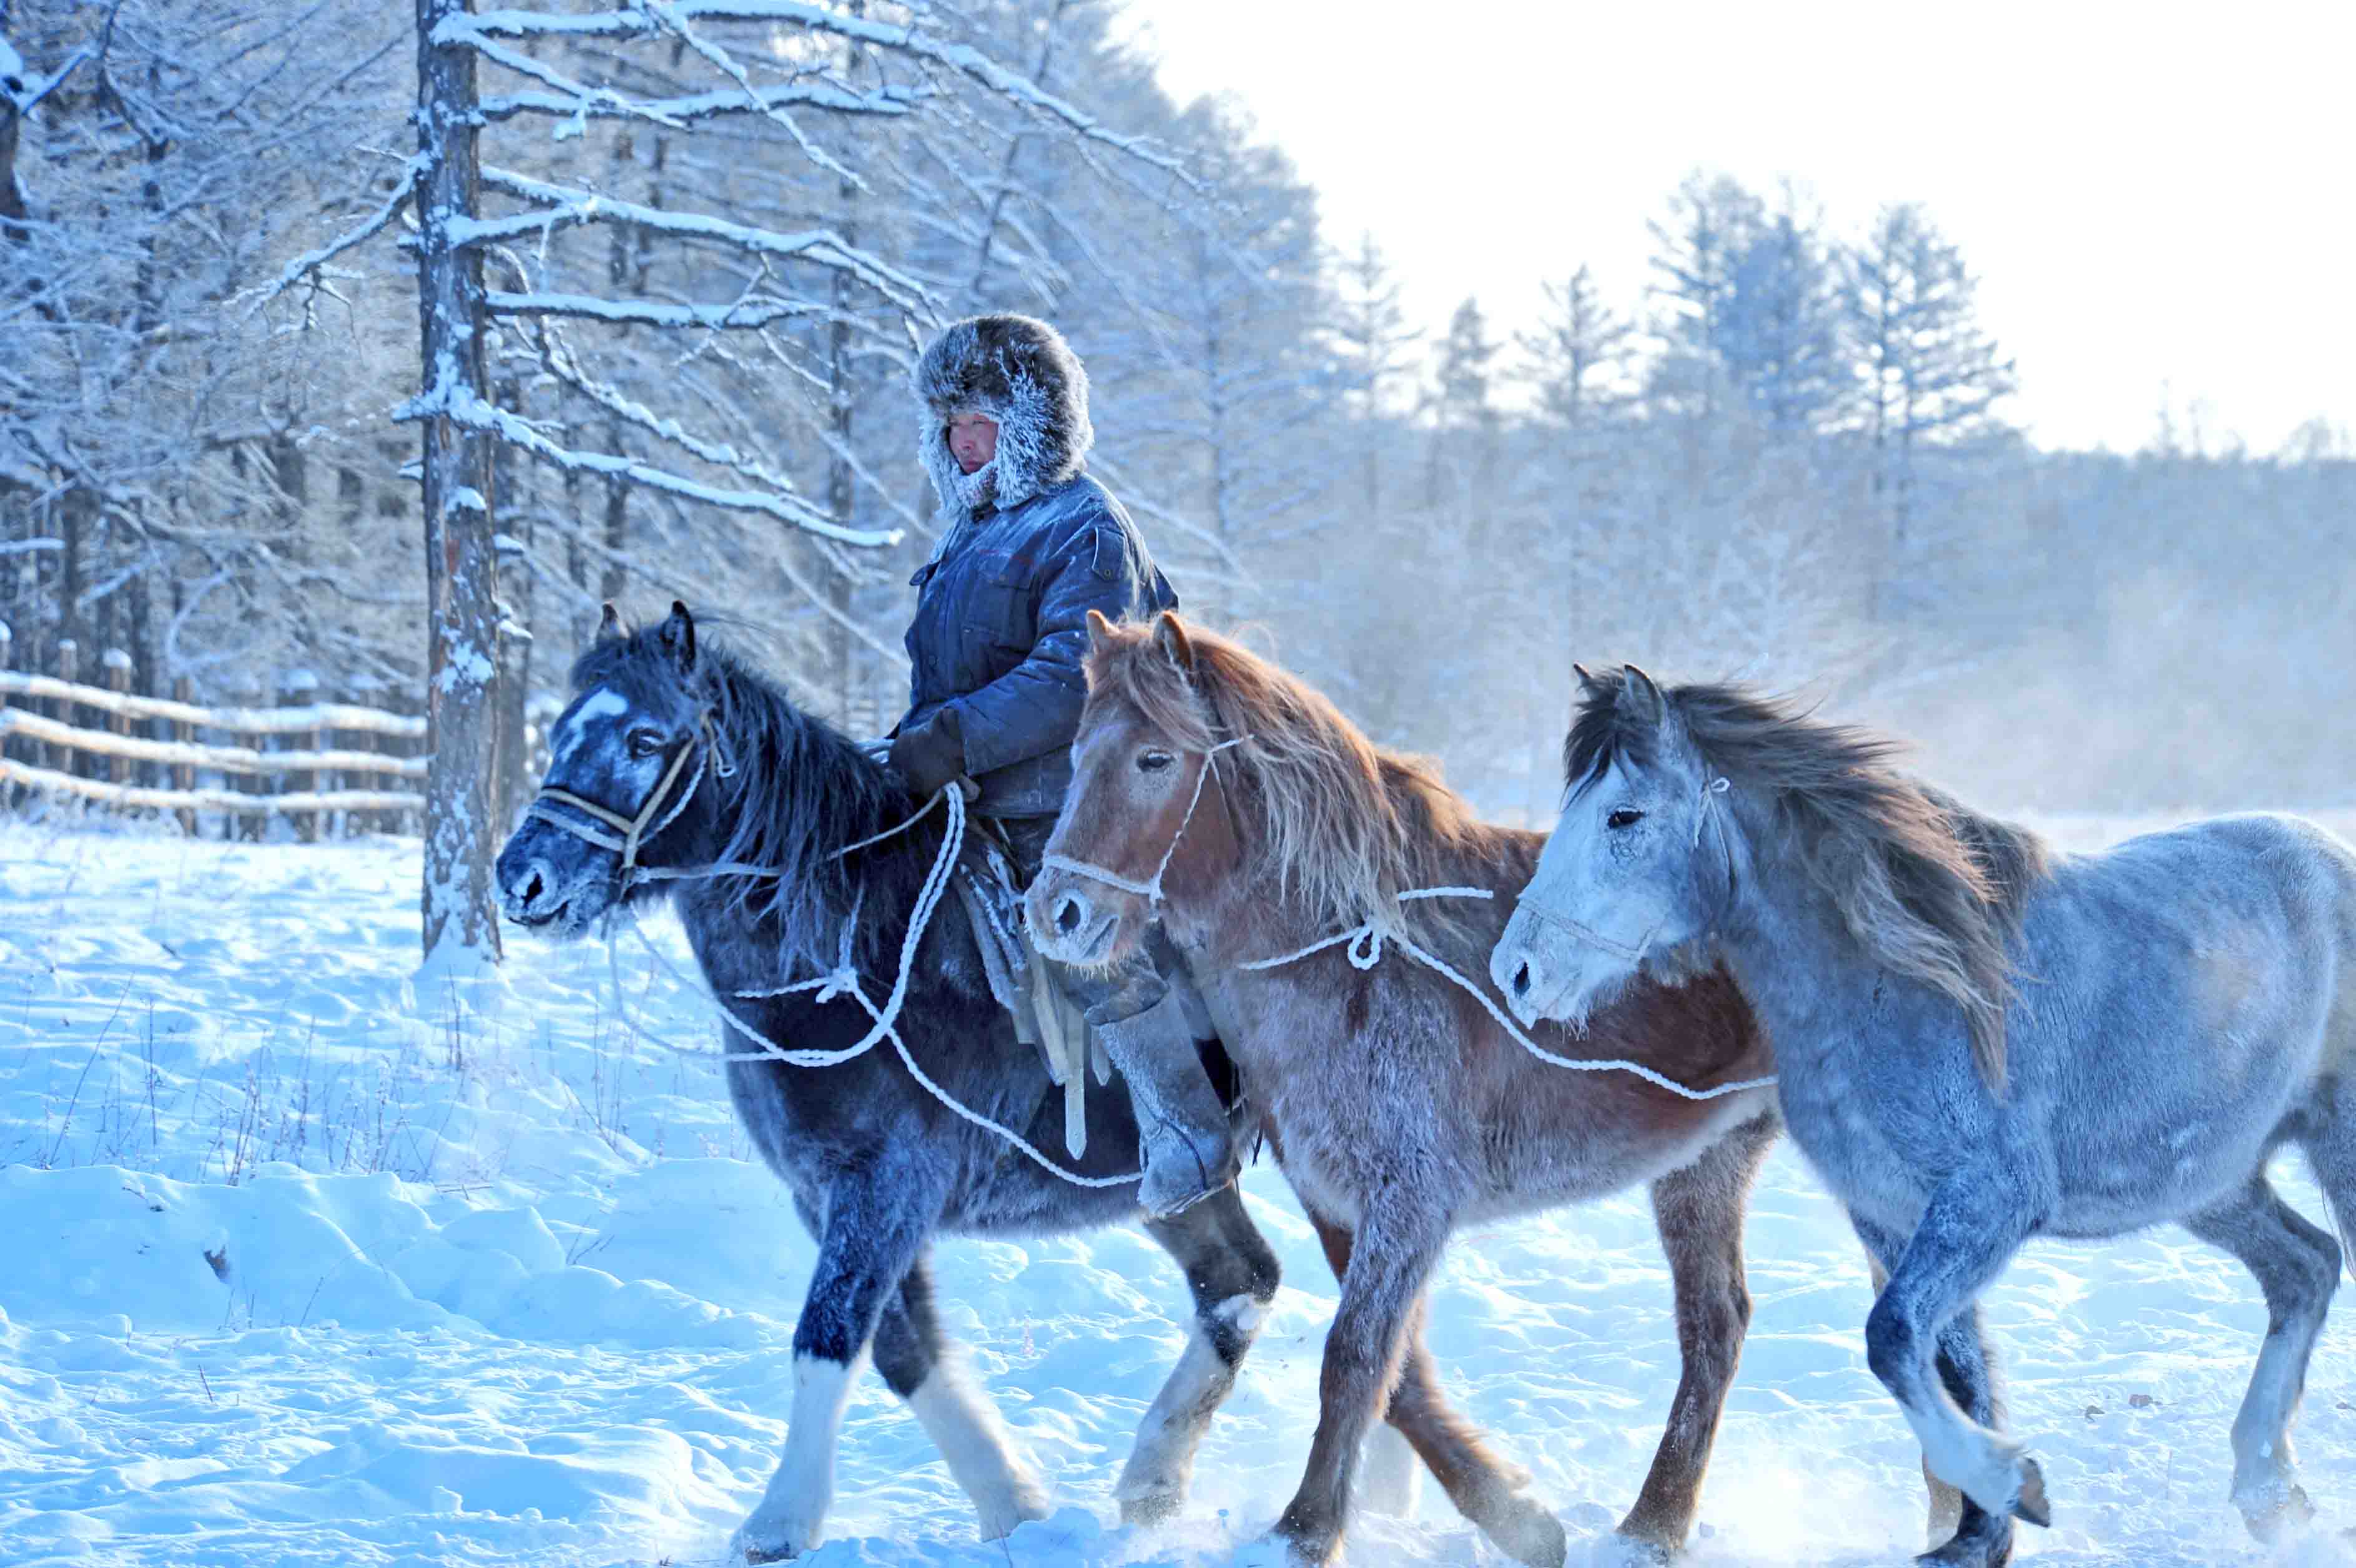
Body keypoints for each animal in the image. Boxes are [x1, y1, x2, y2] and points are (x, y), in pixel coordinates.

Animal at [485, 603, 1281, 1554]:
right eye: (561, 731)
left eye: (644, 738)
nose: (523, 878)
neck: (859, 947)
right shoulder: (829, 1193)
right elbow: (904, 1350)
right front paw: (1011, 1503)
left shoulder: (886, 1183)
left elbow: (828, 1335)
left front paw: (779, 1521)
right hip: (1178, 1192)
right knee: (1244, 1281)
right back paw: (1153, 1483)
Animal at [1032, 612, 1781, 1563]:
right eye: (1074, 753)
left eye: (1154, 758)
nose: (1054, 911)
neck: (1360, 953)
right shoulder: (1342, 1203)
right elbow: (1402, 1376)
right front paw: (1514, 1514)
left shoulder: (1410, 1200)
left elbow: (1354, 1359)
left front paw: (1301, 1533)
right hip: (1706, 1163)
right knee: (1716, 1328)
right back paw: (1652, 1528)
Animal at [1489, 664, 2356, 1563]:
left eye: (1623, 815)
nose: (1516, 971)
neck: (1904, 989)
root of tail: (2329, 854)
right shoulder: (1891, 1214)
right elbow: (1948, 1366)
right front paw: (1977, 1533)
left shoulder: (1984, 1204)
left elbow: (1893, 1337)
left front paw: (2013, 1486)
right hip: (2210, 1185)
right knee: (2304, 1266)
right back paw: (2271, 1494)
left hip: (2332, 1148)